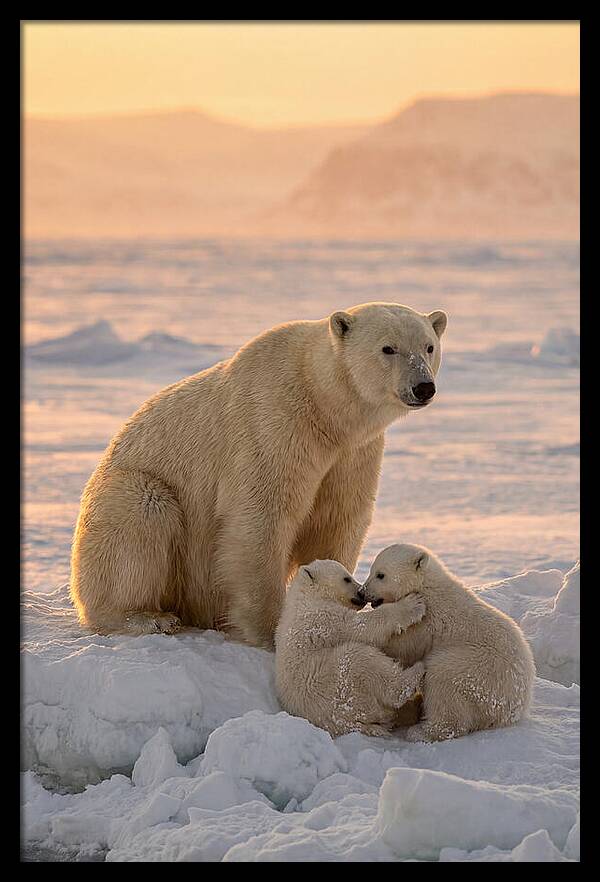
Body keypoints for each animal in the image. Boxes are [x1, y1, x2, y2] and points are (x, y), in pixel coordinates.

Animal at [70, 302, 447, 647]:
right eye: (388, 348)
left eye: (428, 346)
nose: (423, 387)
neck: (323, 406)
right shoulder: (273, 424)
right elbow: (261, 517)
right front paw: (272, 630)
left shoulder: (353, 453)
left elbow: (337, 517)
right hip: (129, 492)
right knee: (142, 515)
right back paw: (148, 617)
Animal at [274, 559, 426, 737]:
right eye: (347, 579)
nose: (361, 592)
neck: (306, 596)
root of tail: (346, 724)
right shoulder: (323, 618)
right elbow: (362, 627)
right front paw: (413, 604)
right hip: (338, 686)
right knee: (361, 660)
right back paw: (416, 670)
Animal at [362, 544, 536, 742]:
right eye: (372, 570)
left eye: (380, 574)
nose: (362, 592)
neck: (426, 586)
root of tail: (514, 709)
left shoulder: (427, 622)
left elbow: (403, 646)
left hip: (478, 671)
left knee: (442, 677)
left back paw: (421, 731)